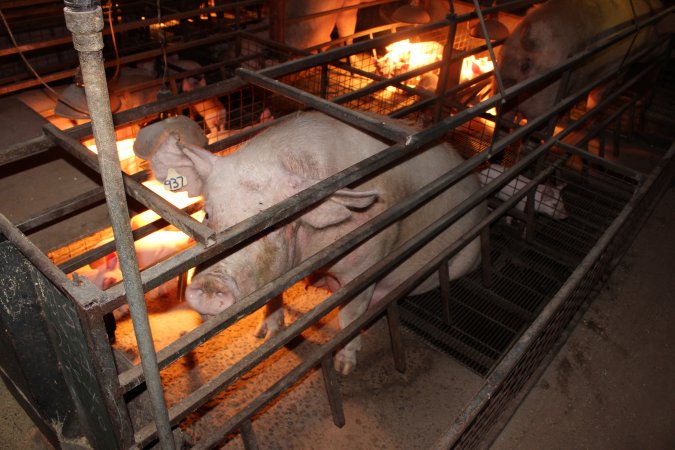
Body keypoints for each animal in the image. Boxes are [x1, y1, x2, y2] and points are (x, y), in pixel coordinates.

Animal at [148, 110, 486, 374]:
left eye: (272, 227)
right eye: (208, 214)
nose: (211, 285)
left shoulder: (367, 260)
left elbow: (350, 315)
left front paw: (344, 367)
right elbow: (273, 295)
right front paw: (265, 335)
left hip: (466, 258)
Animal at [494, 0, 672, 121]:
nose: (666, 48)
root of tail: (531, 37)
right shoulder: (616, 67)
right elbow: (599, 93)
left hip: (505, 71)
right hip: (544, 96)